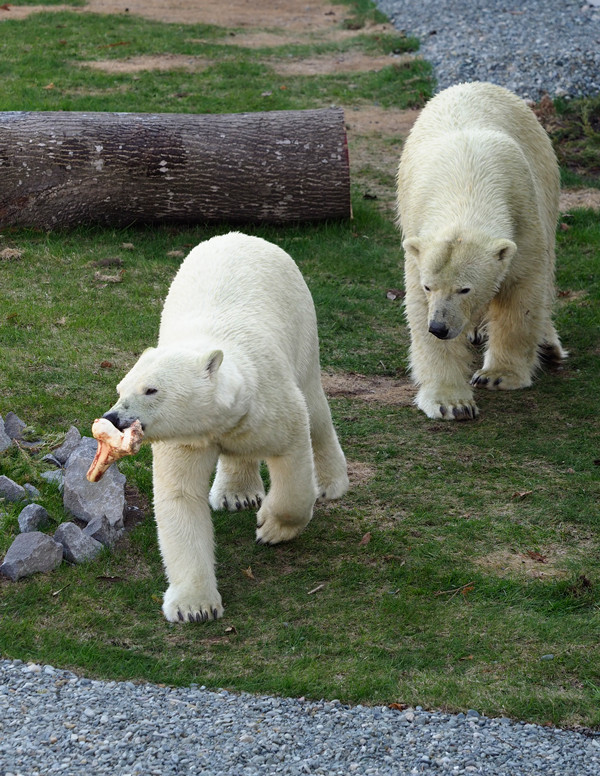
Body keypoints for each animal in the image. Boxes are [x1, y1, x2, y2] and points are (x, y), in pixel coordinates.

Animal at [101, 232, 350, 624]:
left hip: (303, 323)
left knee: (315, 407)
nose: (114, 419)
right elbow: (181, 497)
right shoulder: (187, 439)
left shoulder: (272, 402)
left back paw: (330, 482)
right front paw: (194, 607)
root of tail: (245, 236)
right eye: (120, 388)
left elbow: (293, 458)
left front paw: (271, 528)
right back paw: (237, 494)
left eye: (151, 389)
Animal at [396, 80, 564, 418]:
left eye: (465, 289)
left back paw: (548, 344)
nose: (440, 327)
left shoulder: (522, 212)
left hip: (546, 176)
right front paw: (452, 403)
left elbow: (521, 291)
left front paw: (497, 376)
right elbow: (418, 308)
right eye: (429, 286)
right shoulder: (418, 232)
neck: (467, 183)